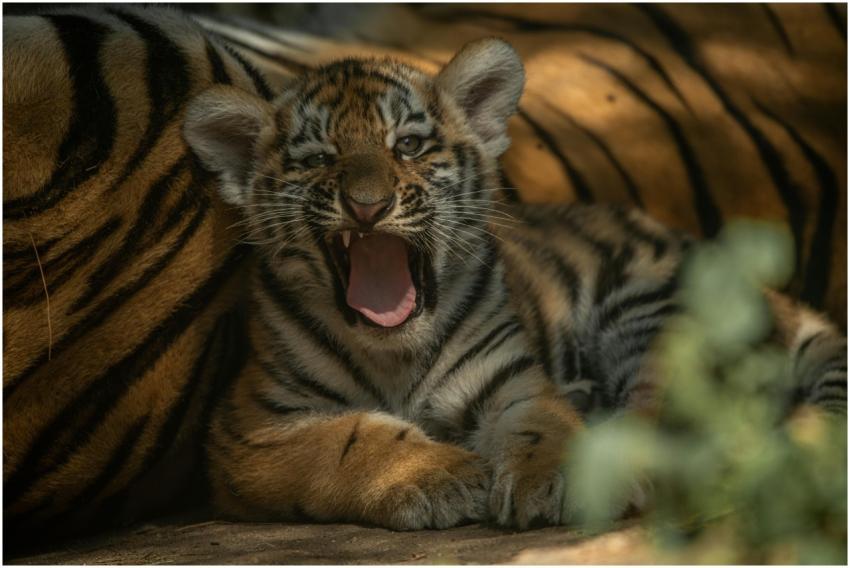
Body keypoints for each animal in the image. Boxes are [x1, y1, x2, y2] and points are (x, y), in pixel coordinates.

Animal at [182, 36, 847, 530]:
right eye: (320, 159)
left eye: (409, 146)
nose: (367, 206)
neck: (394, 355)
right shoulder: (251, 427)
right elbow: (346, 441)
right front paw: (441, 476)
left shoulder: (514, 381)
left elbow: (540, 427)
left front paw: (554, 480)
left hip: (654, 309)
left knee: (676, 418)